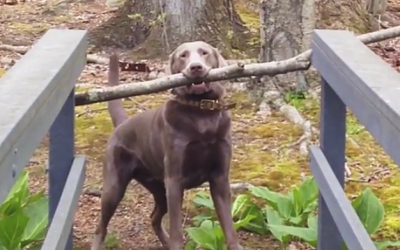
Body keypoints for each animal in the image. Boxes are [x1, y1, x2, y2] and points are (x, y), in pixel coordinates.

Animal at [91, 42, 238, 250]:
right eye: (183, 56)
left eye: (204, 53)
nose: (195, 67)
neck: (200, 114)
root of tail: (122, 124)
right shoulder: (175, 180)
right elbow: (177, 230)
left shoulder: (220, 178)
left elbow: (230, 229)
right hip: (114, 186)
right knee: (101, 227)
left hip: (159, 189)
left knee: (153, 217)